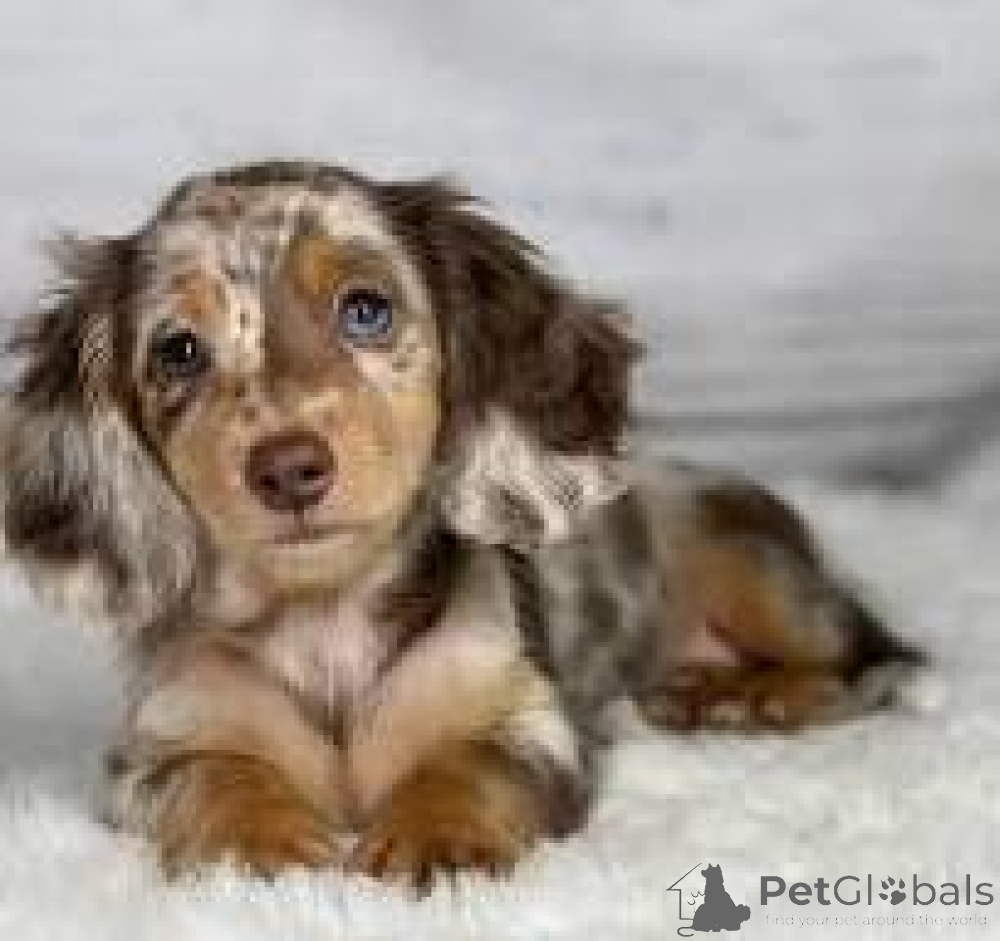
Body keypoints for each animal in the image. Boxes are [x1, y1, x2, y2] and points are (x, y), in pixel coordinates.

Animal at [1, 162, 924, 885]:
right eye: (178, 351)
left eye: (366, 310)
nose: (288, 468)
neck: (324, 623)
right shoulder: (158, 746)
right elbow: (213, 774)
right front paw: (254, 842)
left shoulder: (531, 725)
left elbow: (472, 763)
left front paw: (436, 835)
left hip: (758, 570)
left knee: (876, 659)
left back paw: (751, 695)